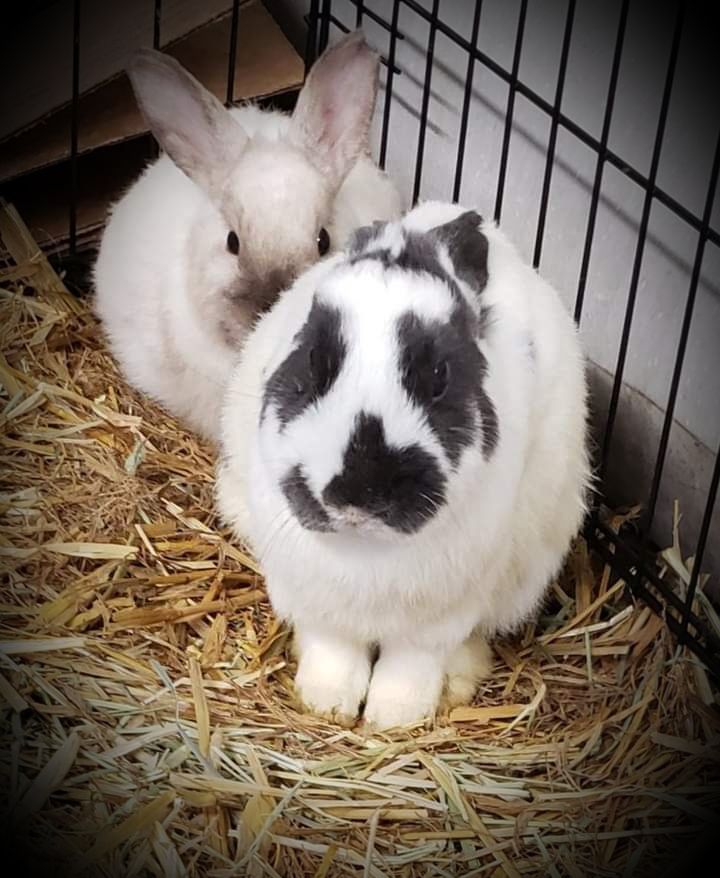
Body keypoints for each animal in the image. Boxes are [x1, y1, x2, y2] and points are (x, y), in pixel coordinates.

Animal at [215, 201, 591, 731]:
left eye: (440, 376)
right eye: (313, 360)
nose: (355, 496)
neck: (364, 549)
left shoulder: (440, 618)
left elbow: (413, 663)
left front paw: (394, 717)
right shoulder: (312, 599)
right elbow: (333, 650)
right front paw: (327, 702)